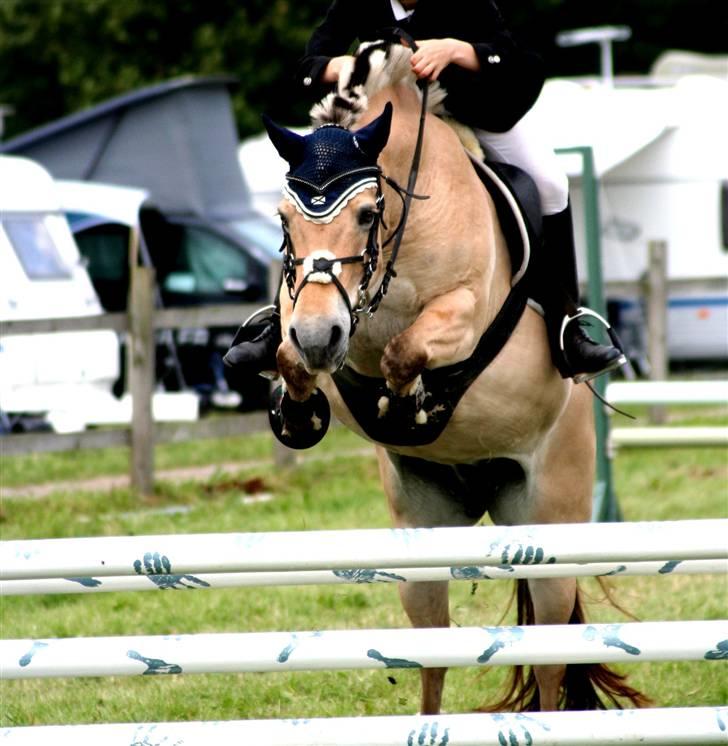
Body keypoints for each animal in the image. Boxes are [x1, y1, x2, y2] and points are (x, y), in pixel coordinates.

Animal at [262, 40, 644, 708]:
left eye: (367, 215)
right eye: (285, 219)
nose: (319, 338)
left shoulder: (460, 314)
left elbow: (404, 352)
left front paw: (408, 403)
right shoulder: (310, 315)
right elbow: (290, 355)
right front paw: (299, 413)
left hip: (550, 525)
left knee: (550, 659)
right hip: (423, 537)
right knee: (432, 653)